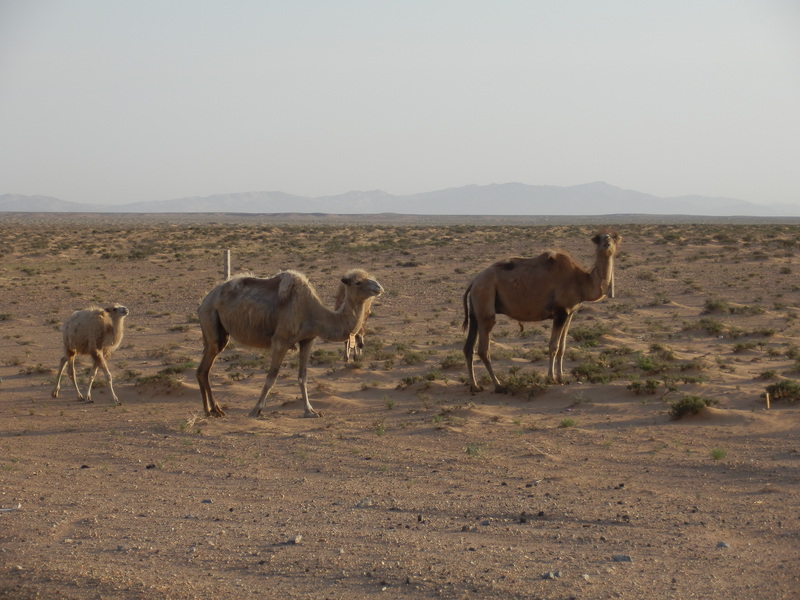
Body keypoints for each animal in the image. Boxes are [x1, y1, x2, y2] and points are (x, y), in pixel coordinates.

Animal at [194, 270, 382, 420]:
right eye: (358, 282)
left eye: (371, 277)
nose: (379, 287)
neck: (313, 312)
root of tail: (204, 300)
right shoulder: (280, 341)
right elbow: (271, 377)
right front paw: (256, 410)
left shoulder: (308, 340)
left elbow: (302, 377)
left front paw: (310, 411)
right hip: (211, 321)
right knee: (203, 369)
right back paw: (211, 411)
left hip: (218, 331)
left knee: (204, 370)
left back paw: (213, 410)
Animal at [460, 227, 620, 392]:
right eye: (598, 238)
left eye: (615, 238)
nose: (607, 244)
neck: (581, 281)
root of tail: (474, 281)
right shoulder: (560, 312)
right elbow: (553, 346)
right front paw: (551, 378)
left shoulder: (569, 313)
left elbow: (562, 347)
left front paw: (562, 377)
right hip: (485, 296)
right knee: (483, 348)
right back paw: (498, 385)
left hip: (476, 310)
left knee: (469, 347)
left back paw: (475, 386)